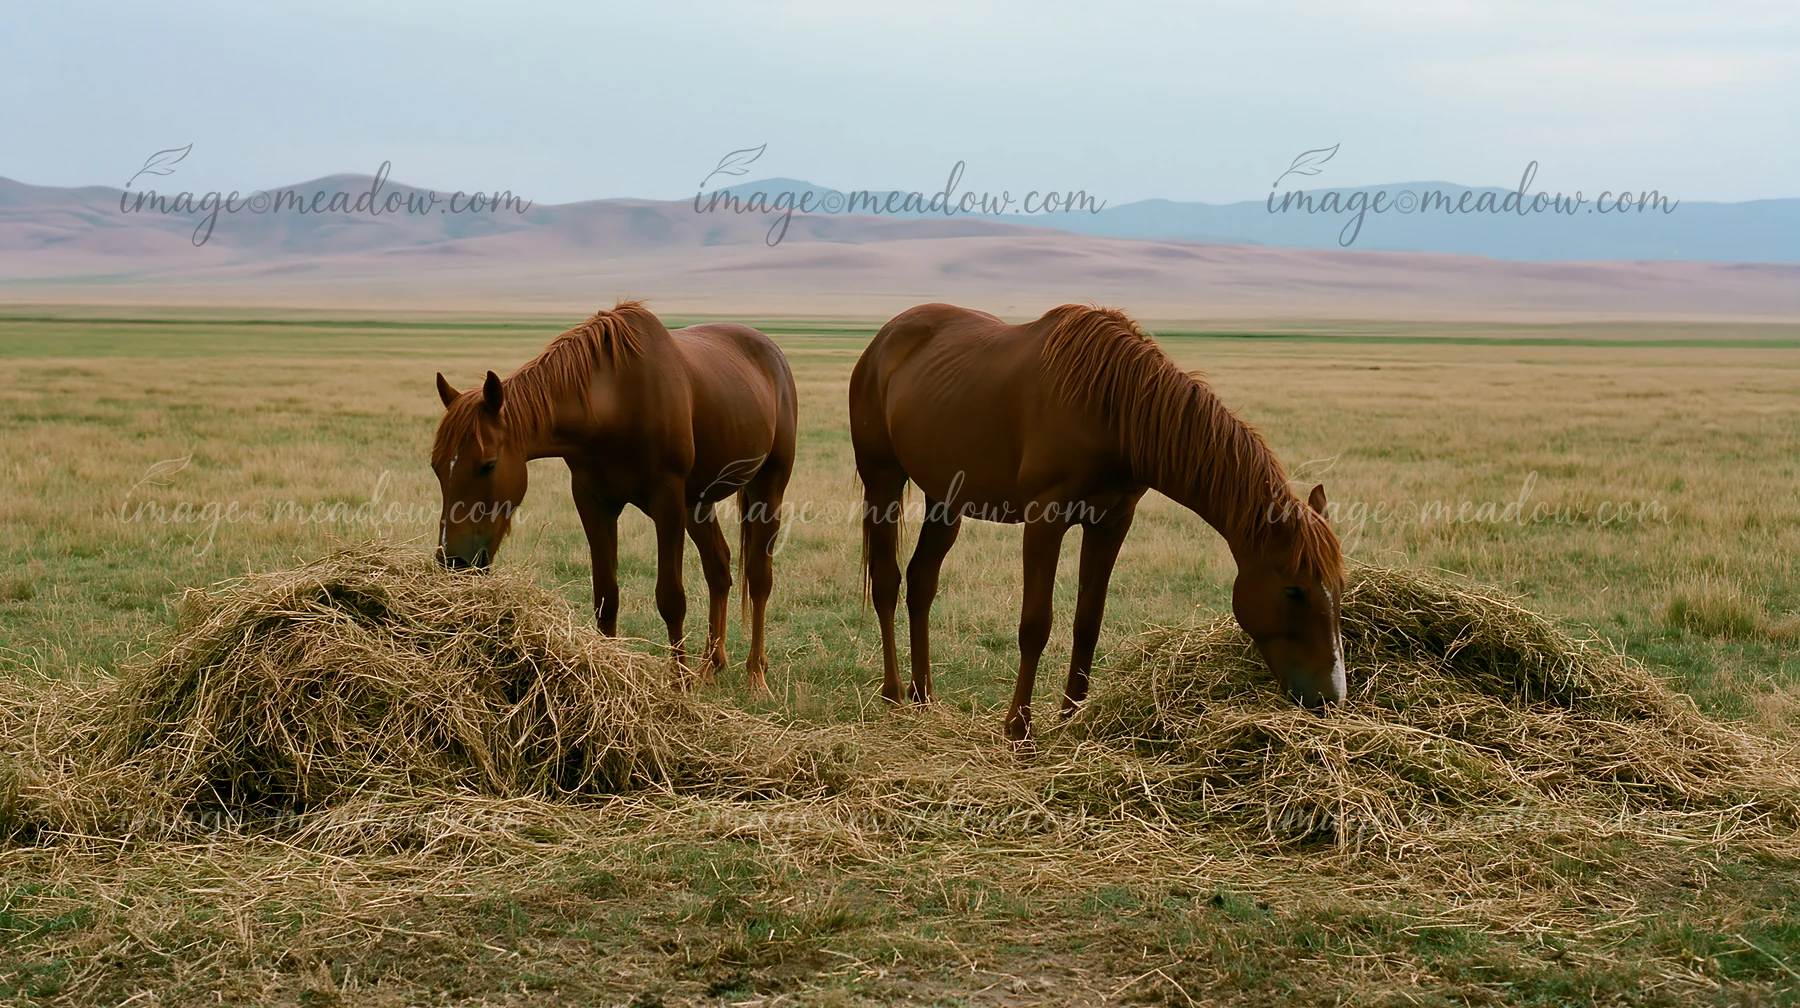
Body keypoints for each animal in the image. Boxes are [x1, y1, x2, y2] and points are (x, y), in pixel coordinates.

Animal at [430, 300, 797, 689]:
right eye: (436, 466)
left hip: (767, 488)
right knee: (719, 570)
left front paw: (677, 683)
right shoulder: (593, 502)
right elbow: (606, 596)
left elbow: (671, 597)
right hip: (698, 502)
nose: (453, 560)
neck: (616, 400)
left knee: (758, 577)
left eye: (487, 465)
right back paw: (710, 666)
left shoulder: (667, 502)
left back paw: (756, 674)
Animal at [850, 302, 1346, 742]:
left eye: (1338, 589)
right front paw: (1019, 731)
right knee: (887, 582)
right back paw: (895, 696)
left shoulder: (1112, 521)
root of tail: (883, 340)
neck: (1111, 411)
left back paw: (924, 696)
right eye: (1294, 590)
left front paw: (1073, 717)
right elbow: (1035, 624)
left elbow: (1088, 622)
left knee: (922, 582)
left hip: (945, 499)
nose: (1330, 698)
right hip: (883, 482)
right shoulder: (1045, 519)